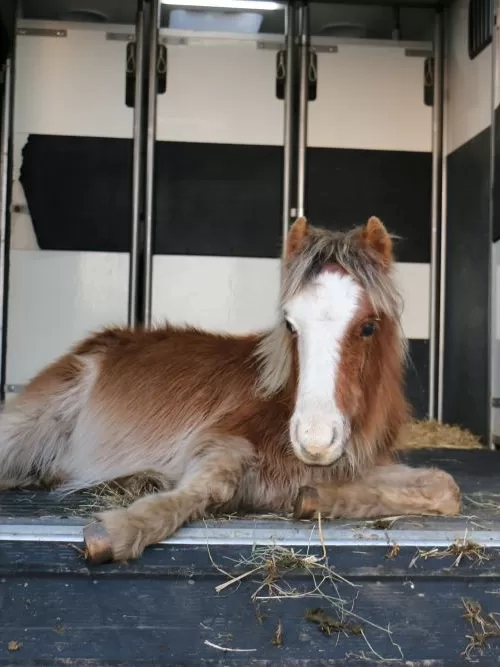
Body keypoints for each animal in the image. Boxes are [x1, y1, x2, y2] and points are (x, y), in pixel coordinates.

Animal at [0, 218, 458, 560]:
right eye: (290, 324)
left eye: (368, 326)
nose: (314, 440)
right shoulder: (219, 439)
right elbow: (210, 484)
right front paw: (121, 529)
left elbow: (445, 487)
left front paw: (313, 498)